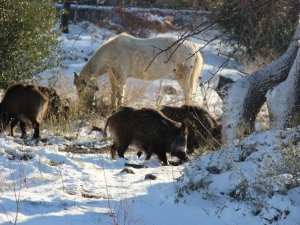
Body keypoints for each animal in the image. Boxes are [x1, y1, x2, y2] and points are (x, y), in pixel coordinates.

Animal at [74, 32, 203, 108]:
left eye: (81, 89)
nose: (83, 106)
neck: (113, 52)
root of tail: (193, 45)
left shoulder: (121, 77)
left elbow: (120, 95)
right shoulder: (113, 77)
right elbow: (113, 94)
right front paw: (112, 109)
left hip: (182, 75)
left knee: (188, 92)